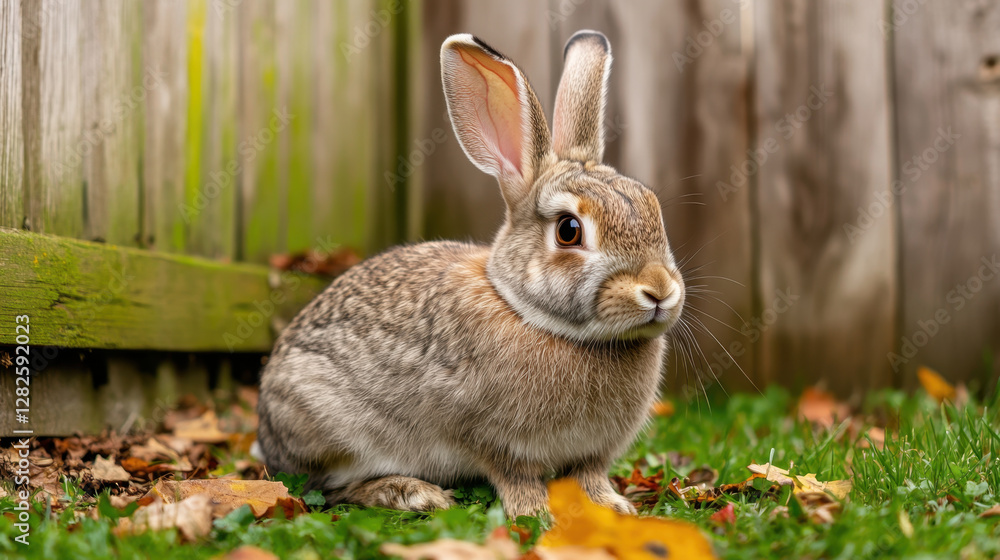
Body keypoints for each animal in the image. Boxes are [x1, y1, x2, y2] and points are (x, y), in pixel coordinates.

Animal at [254, 30, 686, 518]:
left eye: (652, 206)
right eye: (569, 231)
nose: (659, 291)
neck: (535, 317)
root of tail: (267, 431)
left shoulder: (592, 453)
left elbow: (589, 476)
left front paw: (614, 507)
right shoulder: (492, 439)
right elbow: (514, 475)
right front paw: (533, 513)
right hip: (331, 431)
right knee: (329, 489)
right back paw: (410, 492)